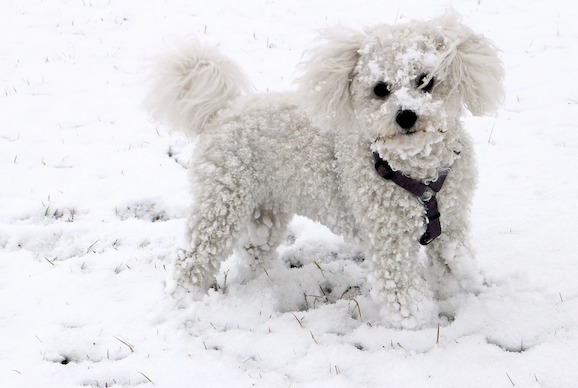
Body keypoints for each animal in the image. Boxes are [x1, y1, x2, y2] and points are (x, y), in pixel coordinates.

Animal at [146, 15, 502, 330]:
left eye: (425, 81)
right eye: (380, 89)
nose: (405, 116)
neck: (417, 172)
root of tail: (224, 110)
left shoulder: (452, 223)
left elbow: (452, 263)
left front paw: (458, 296)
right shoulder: (389, 240)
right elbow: (401, 289)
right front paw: (417, 326)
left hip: (265, 210)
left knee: (253, 254)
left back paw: (259, 289)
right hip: (221, 205)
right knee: (192, 257)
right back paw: (183, 299)